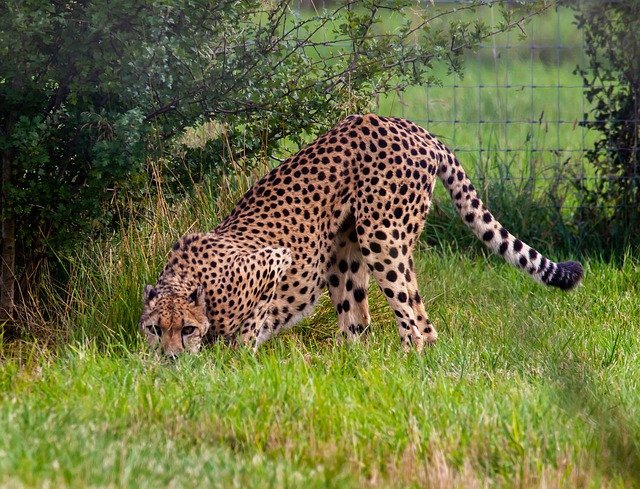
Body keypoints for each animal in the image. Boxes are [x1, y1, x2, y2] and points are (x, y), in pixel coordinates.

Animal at [140, 116, 584, 356]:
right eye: (154, 329)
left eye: (186, 329)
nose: (171, 358)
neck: (187, 278)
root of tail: (410, 126)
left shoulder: (274, 260)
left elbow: (247, 329)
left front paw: (232, 356)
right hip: (346, 250)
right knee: (365, 322)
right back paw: (351, 363)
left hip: (382, 235)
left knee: (415, 322)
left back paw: (403, 365)